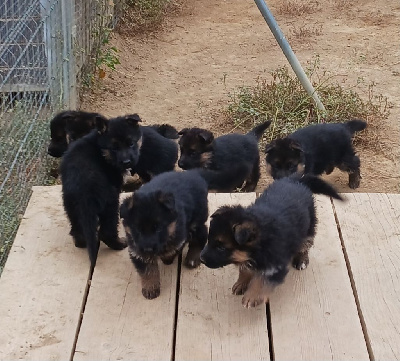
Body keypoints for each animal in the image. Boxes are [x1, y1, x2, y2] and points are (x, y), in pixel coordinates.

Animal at [58, 114, 141, 266]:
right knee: (106, 231)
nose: (127, 162)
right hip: (110, 201)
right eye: (114, 148)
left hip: (70, 203)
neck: (101, 150)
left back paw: (81, 243)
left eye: (131, 143)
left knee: (77, 229)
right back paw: (119, 244)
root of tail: (83, 188)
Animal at [120, 164, 248, 298]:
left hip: (197, 218)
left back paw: (193, 258)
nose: (148, 250)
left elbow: (173, 248)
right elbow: (147, 270)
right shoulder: (137, 249)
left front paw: (168, 258)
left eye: (158, 228)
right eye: (137, 229)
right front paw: (150, 287)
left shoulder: (179, 234)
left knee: (201, 234)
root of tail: (192, 173)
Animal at [200, 174, 344, 306]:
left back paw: (301, 260)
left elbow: (263, 281)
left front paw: (252, 296)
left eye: (221, 247)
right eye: (209, 240)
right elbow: (245, 268)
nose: (201, 259)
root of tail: (296, 179)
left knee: (305, 244)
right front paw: (241, 283)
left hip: (308, 227)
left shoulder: (275, 264)